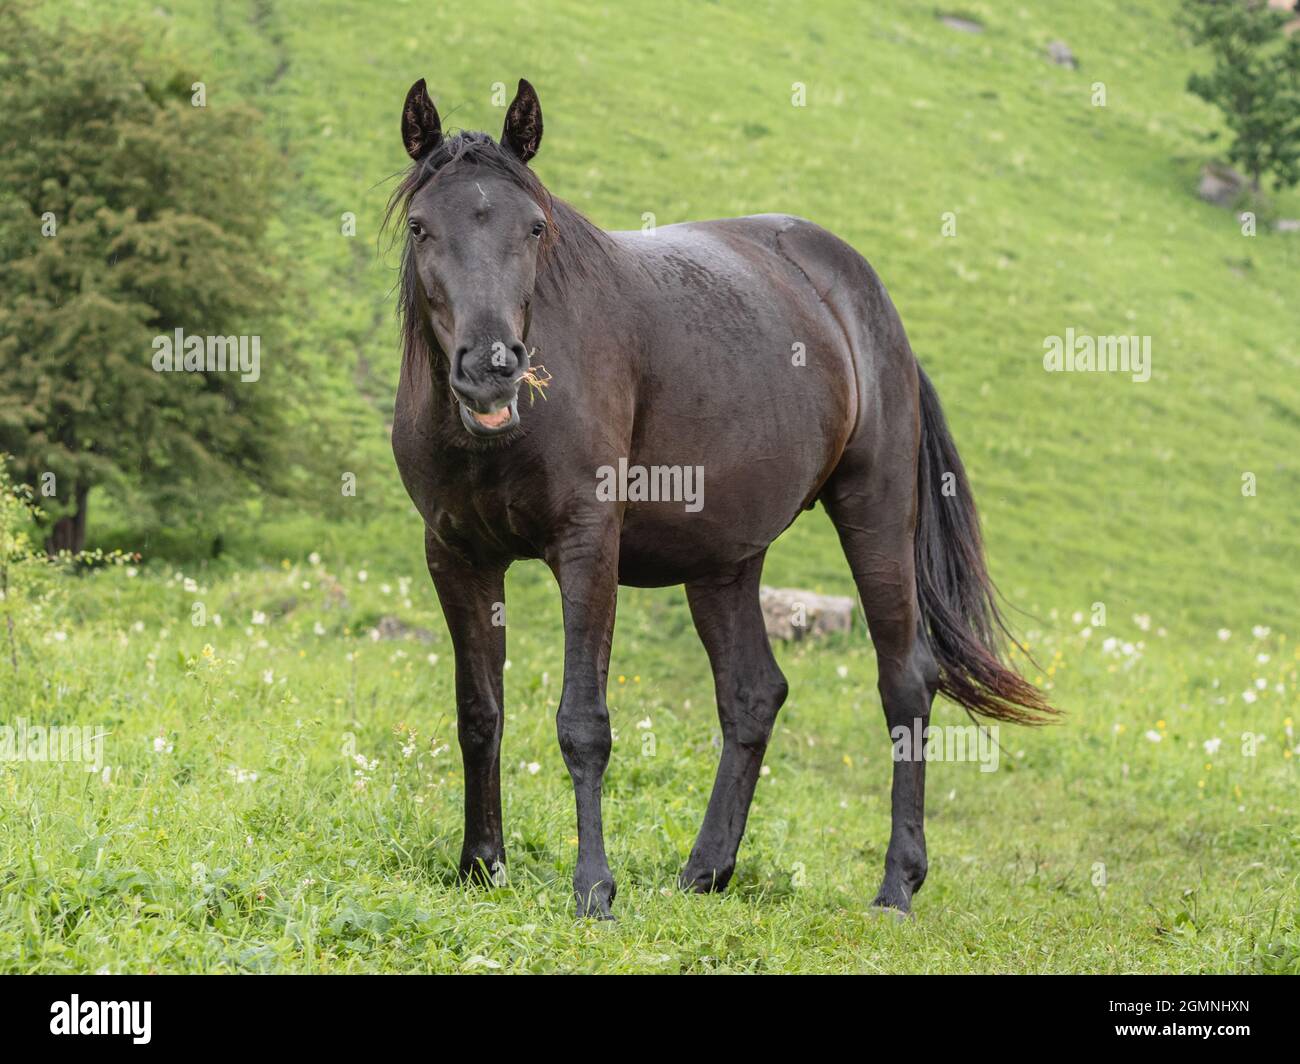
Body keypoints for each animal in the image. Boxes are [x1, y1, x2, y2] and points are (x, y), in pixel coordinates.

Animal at [384, 78, 1055, 915]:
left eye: (534, 228)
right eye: (421, 227)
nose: (490, 369)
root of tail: (865, 300)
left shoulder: (586, 546)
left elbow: (583, 723)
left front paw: (593, 889)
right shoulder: (455, 555)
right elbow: (479, 712)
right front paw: (480, 865)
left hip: (874, 512)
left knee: (905, 681)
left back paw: (896, 885)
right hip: (724, 559)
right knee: (753, 694)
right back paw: (707, 869)